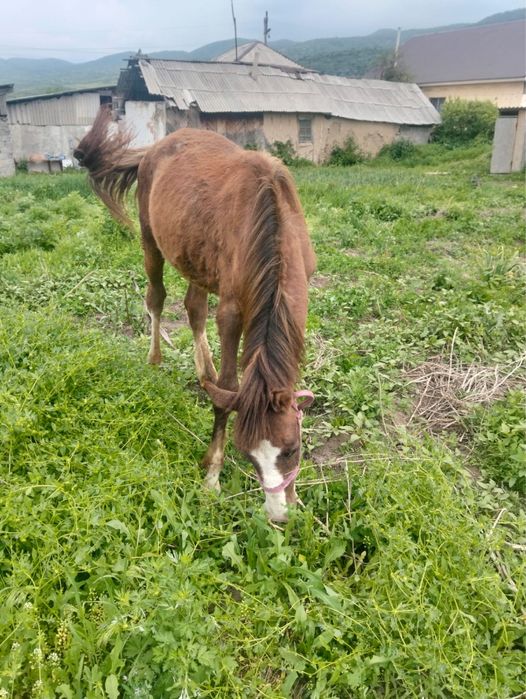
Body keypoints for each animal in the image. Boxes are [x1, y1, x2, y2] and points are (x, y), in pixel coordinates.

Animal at [74, 108, 316, 521]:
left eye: (292, 449)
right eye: (248, 456)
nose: (278, 517)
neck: (271, 222)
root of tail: (154, 149)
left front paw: (296, 495)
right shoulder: (233, 310)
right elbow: (231, 388)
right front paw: (212, 476)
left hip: (196, 261)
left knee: (194, 308)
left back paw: (205, 370)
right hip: (150, 241)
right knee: (157, 298)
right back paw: (157, 359)